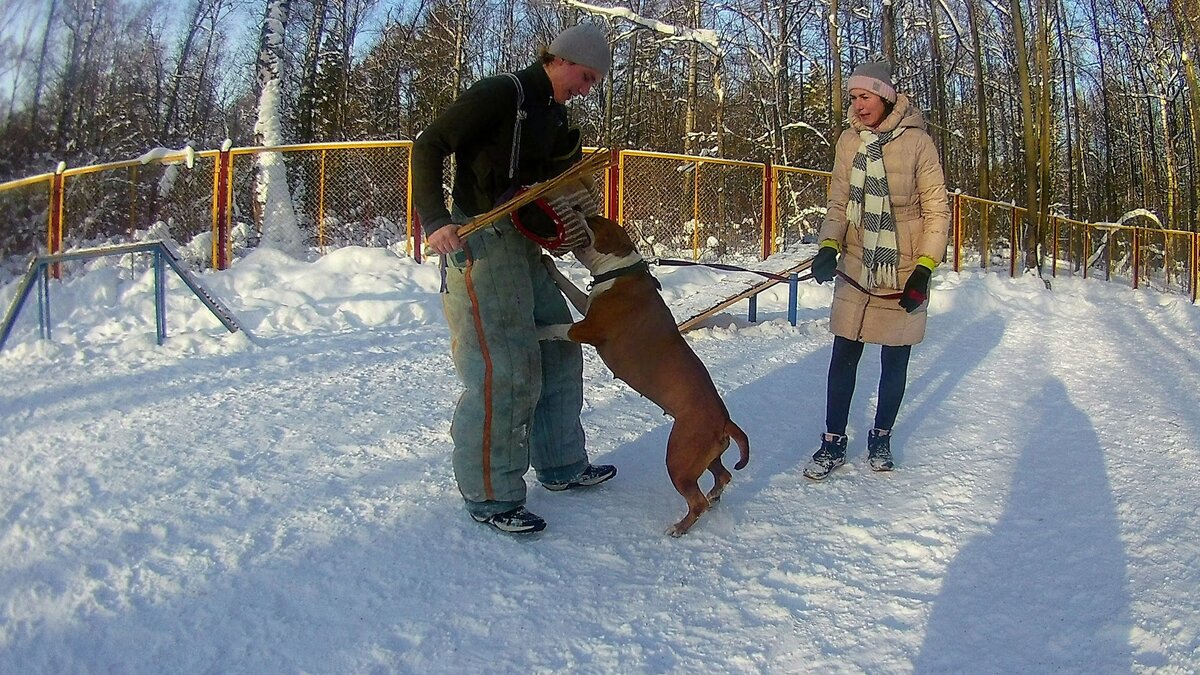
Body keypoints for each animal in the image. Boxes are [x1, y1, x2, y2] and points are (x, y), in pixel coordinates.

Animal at [544, 212, 748, 533]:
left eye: (595, 220)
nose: (578, 207)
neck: (619, 269)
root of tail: (725, 421)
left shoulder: (584, 329)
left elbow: (555, 329)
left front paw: (537, 330)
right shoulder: (585, 306)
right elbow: (568, 286)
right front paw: (548, 264)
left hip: (678, 460)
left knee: (697, 501)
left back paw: (679, 528)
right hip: (705, 458)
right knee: (722, 476)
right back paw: (714, 496)